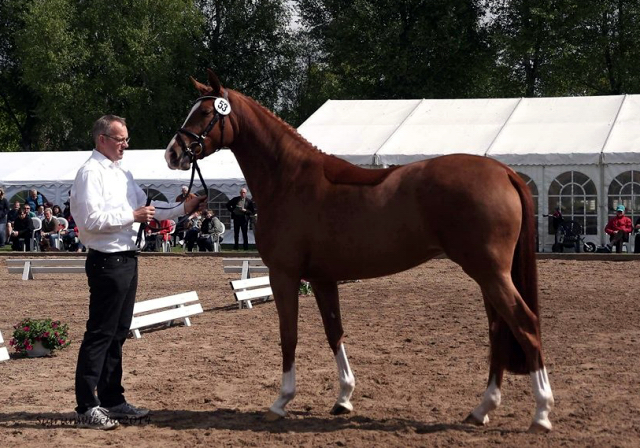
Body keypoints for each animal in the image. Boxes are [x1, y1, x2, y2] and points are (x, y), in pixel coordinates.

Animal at [166, 71, 556, 434]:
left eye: (204, 113)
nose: (173, 153)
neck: (289, 179)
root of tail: (503, 172)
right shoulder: (322, 279)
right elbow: (334, 332)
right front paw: (344, 397)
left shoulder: (284, 274)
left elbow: (288, 334)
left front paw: (281, 401)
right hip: (487, 275)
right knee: (498, 330)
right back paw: (483, 408)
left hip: (489, 272)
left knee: (525, 323)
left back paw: (541, 413)